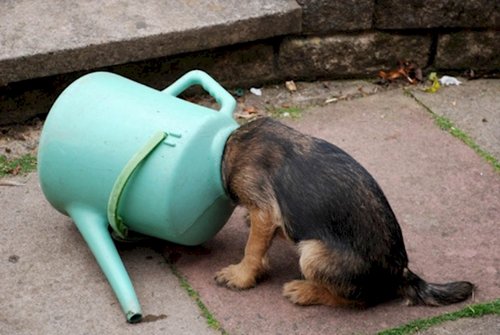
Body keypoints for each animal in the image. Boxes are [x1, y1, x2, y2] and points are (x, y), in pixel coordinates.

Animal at [214, 117, 472, 308]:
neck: (228, 144)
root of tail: (399, 273)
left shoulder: (264, 210)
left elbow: (252, 248)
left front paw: (240, 276)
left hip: (313, 254)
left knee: (356, 300)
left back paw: (305, 291)